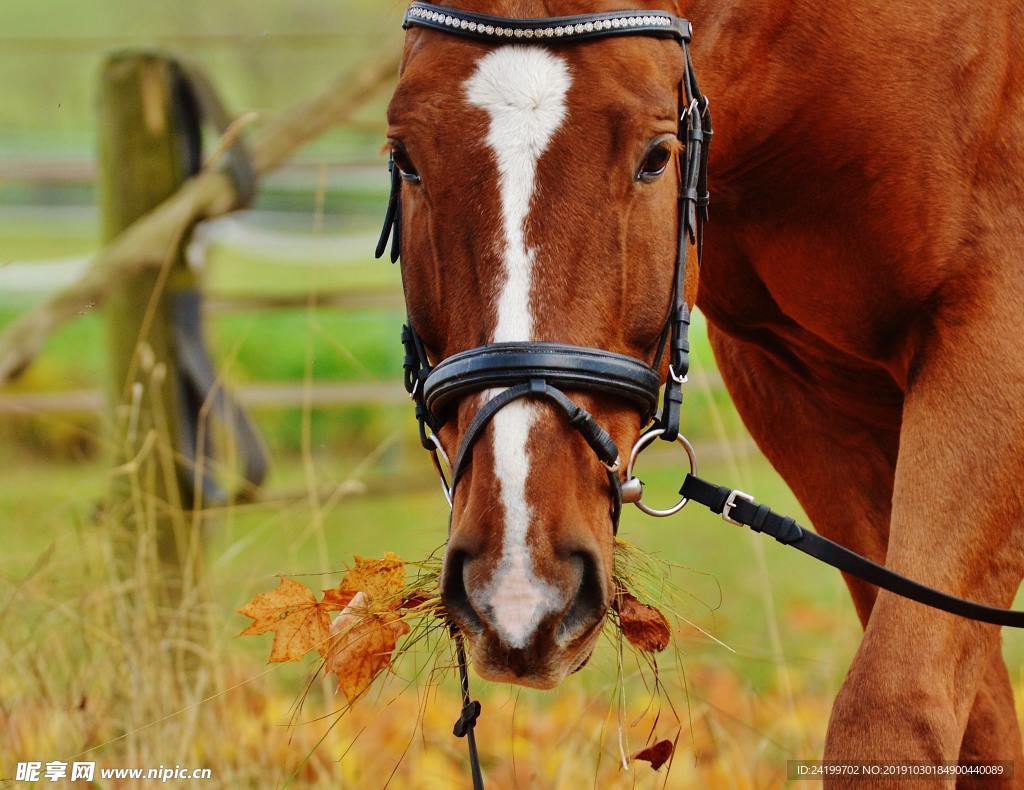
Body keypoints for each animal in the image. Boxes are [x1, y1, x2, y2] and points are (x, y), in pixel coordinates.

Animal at [385, 0, 1024, 778]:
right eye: (406, 158)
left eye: (656, 157)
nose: (518, 589)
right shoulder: (797, 384)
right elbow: (981, 724)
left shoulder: (994, 335)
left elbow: (895, 707)